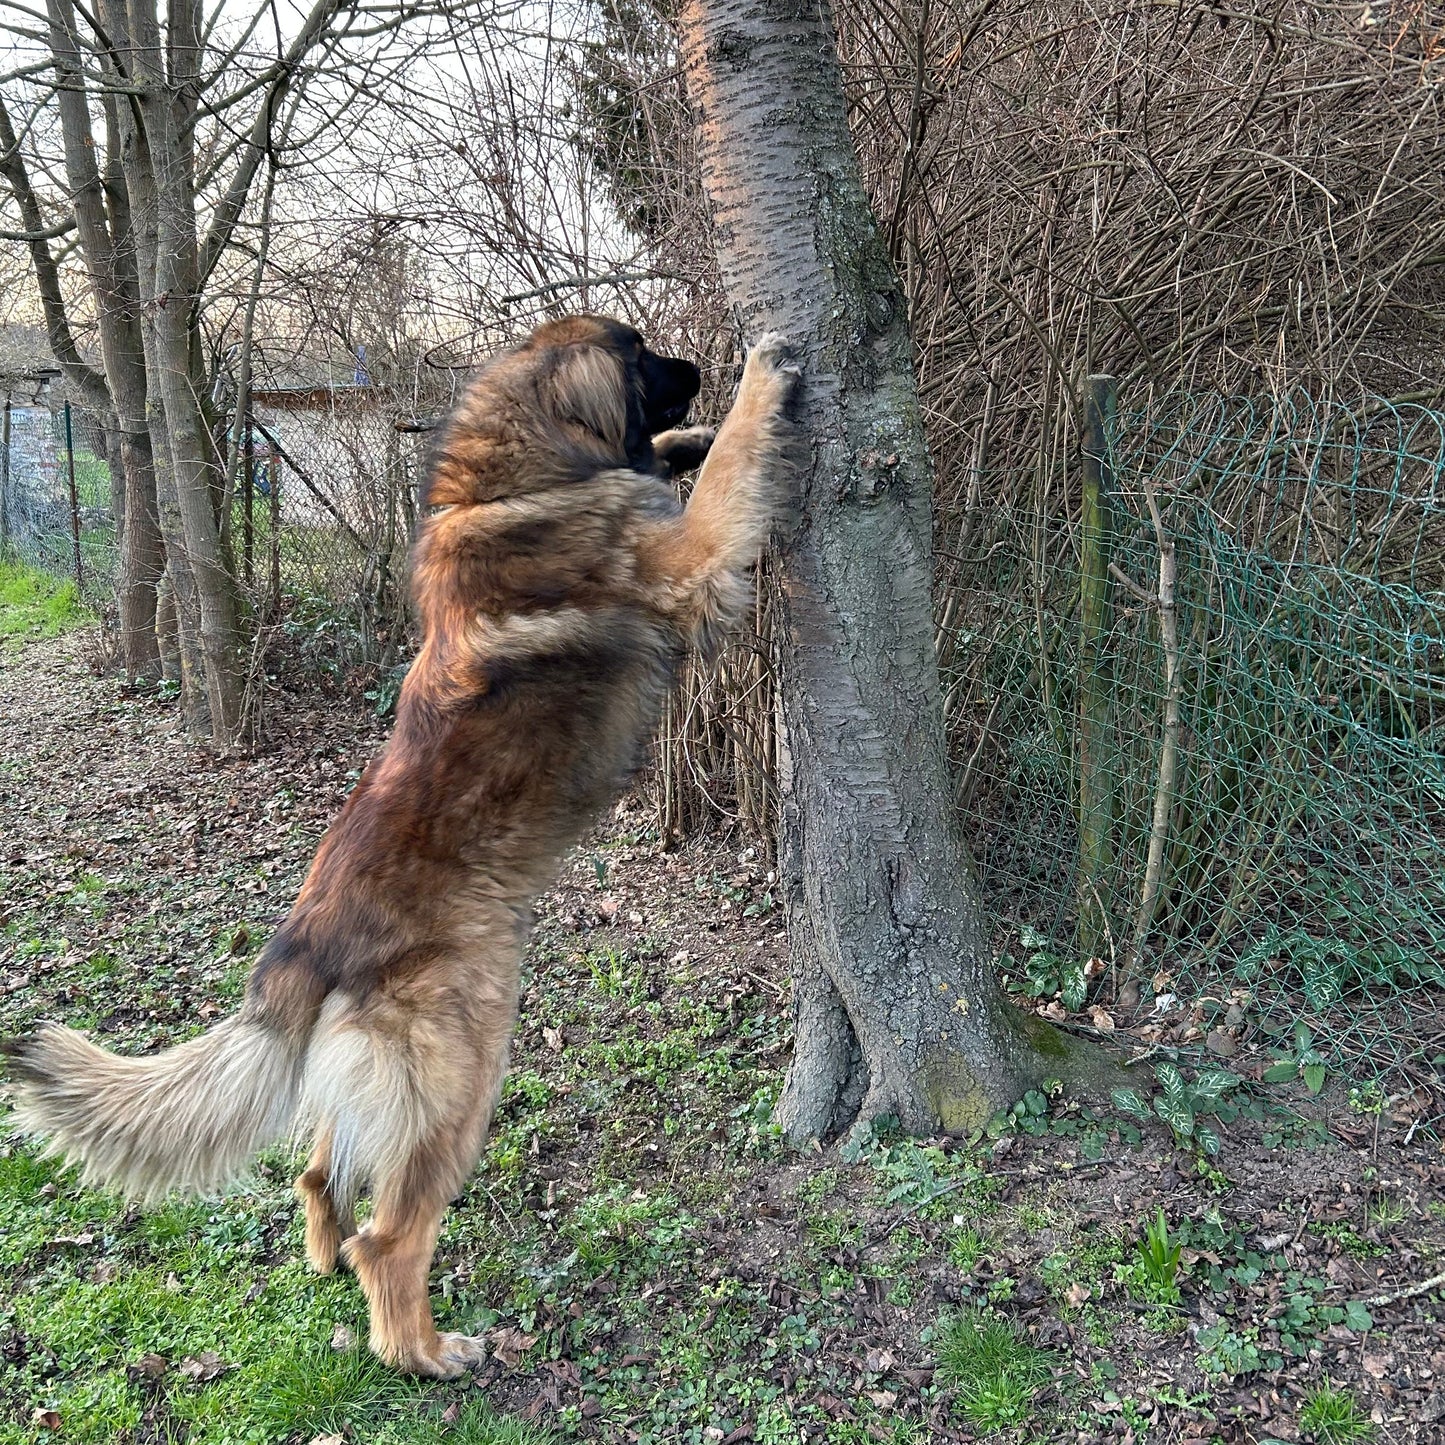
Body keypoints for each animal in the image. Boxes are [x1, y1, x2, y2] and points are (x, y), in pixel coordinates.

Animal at [2, 316, 803, 1375]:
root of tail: (299, 949)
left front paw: (691, 438)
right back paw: (423, 1348)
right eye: (640, 353)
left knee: (316, 1174)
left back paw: (324, 1257)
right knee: (392, 1235)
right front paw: (753, 385)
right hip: (462, 1068)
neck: (509, 486)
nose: (699, 366)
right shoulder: (693, 563)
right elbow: (726, 483)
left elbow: (687, 466)